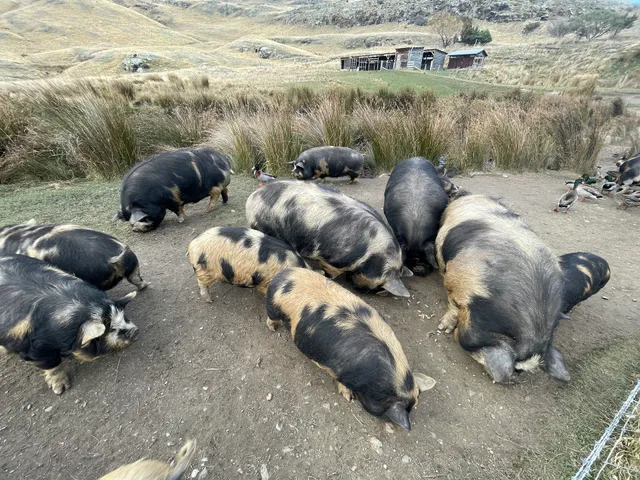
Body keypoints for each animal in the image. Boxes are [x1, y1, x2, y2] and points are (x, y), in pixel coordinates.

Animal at [0, 255, 138, 394]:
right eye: (111, 330)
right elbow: (53, 366)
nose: (135, 330)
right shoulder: (35, 350)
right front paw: (60, 389)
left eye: (124, 317)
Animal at [246, 181, 412, 297]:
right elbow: (331, 272)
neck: (372, 256)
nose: (360, 290)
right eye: (379, 285)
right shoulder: (334, 259)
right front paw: (326, 275)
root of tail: (252, 198)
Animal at [265, 268, 435, 430]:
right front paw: (349, 398)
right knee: (271, 317)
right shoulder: (339, 372)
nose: (399, 425)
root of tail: (284, 274)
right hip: (273, 307)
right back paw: (273, 328)